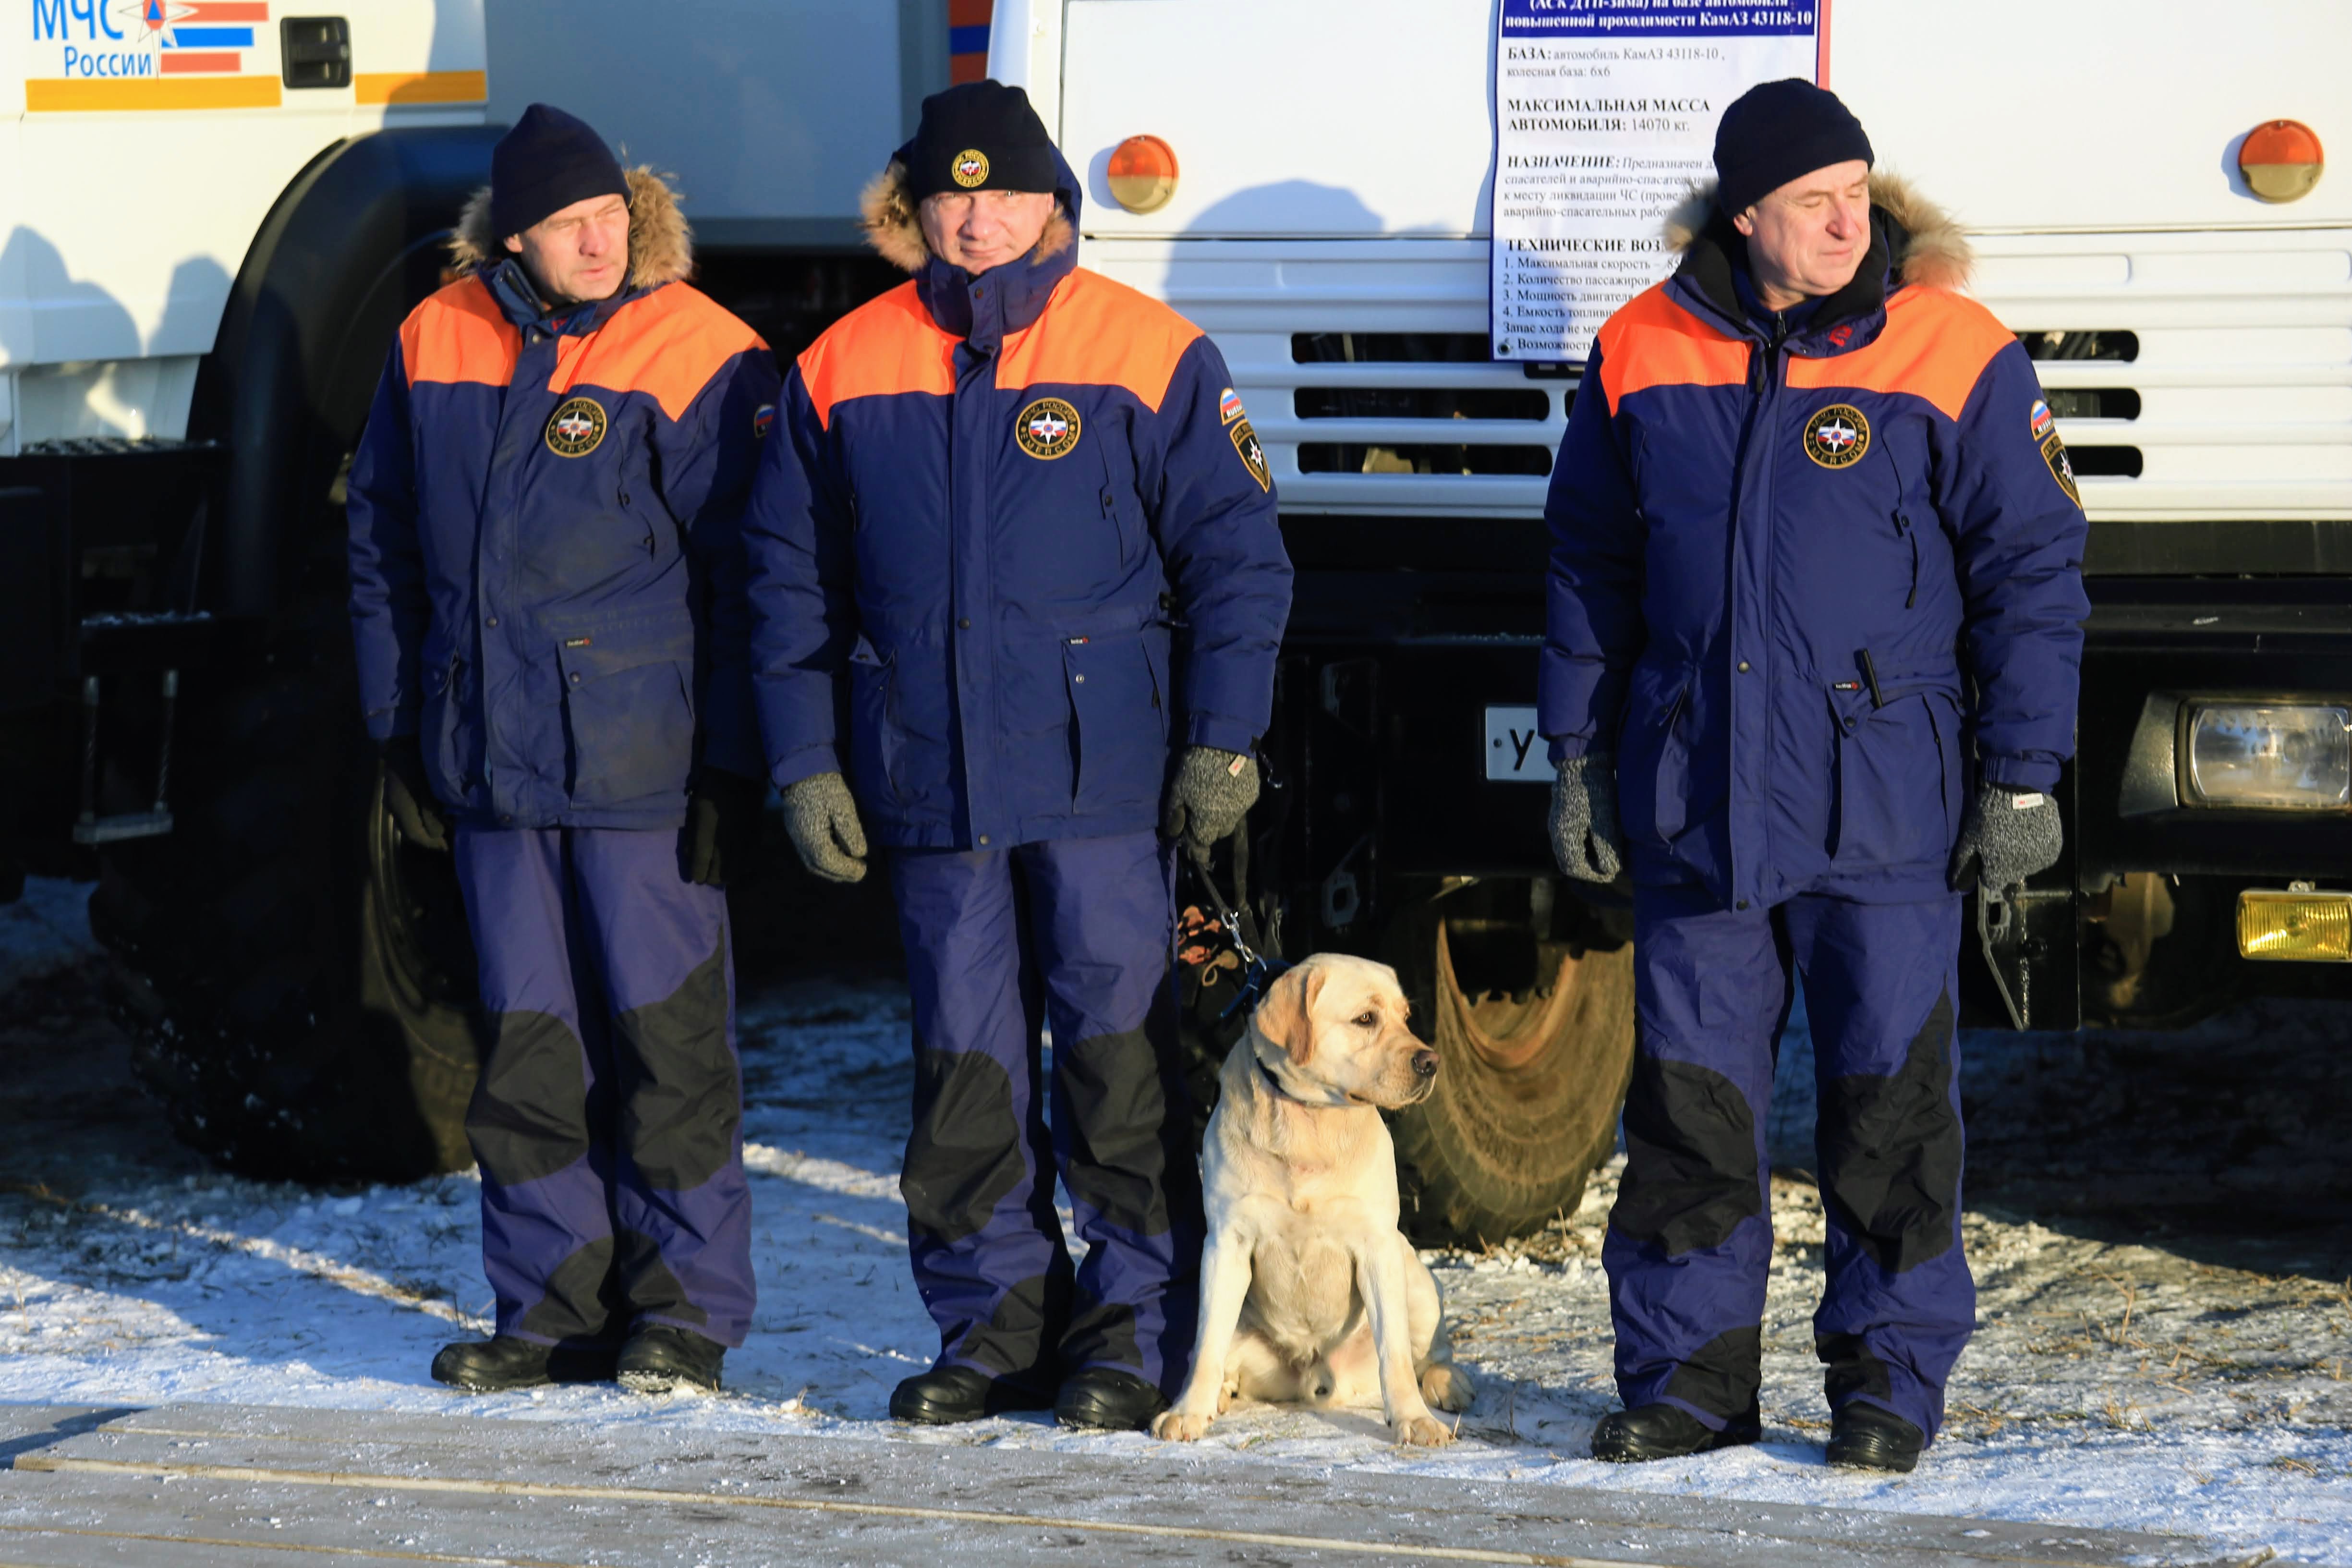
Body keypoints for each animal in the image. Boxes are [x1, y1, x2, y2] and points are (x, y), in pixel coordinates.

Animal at [1152, 952, 1475, 1446]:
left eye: (1405, 1017)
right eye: (1366, 1019)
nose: (1431, 1061)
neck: (1309, 1122)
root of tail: (1314, 1373)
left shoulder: (1378, 1244)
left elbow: (1396, 1355)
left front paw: (1413, 1419)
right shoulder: (1226, 1243)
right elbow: (1206, 1346)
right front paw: (1188, 1411)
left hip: (1418, 1280)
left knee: (1429, 1352)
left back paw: (1447, 1382)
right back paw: (1221, 1392)